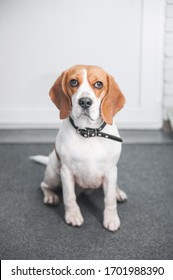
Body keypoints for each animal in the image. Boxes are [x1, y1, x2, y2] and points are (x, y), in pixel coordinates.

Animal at [36, 65, 127, 232]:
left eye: (98, 84)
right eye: (73, 82)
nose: (85, 101)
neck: (88, 133)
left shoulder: (110, 170)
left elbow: (109, 199)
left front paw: (111, 218)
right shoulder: (66, 172)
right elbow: (69, 197)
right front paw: (73, 215)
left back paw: (118, 192)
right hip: (53, 173)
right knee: (44, 185)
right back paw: (50, 196)